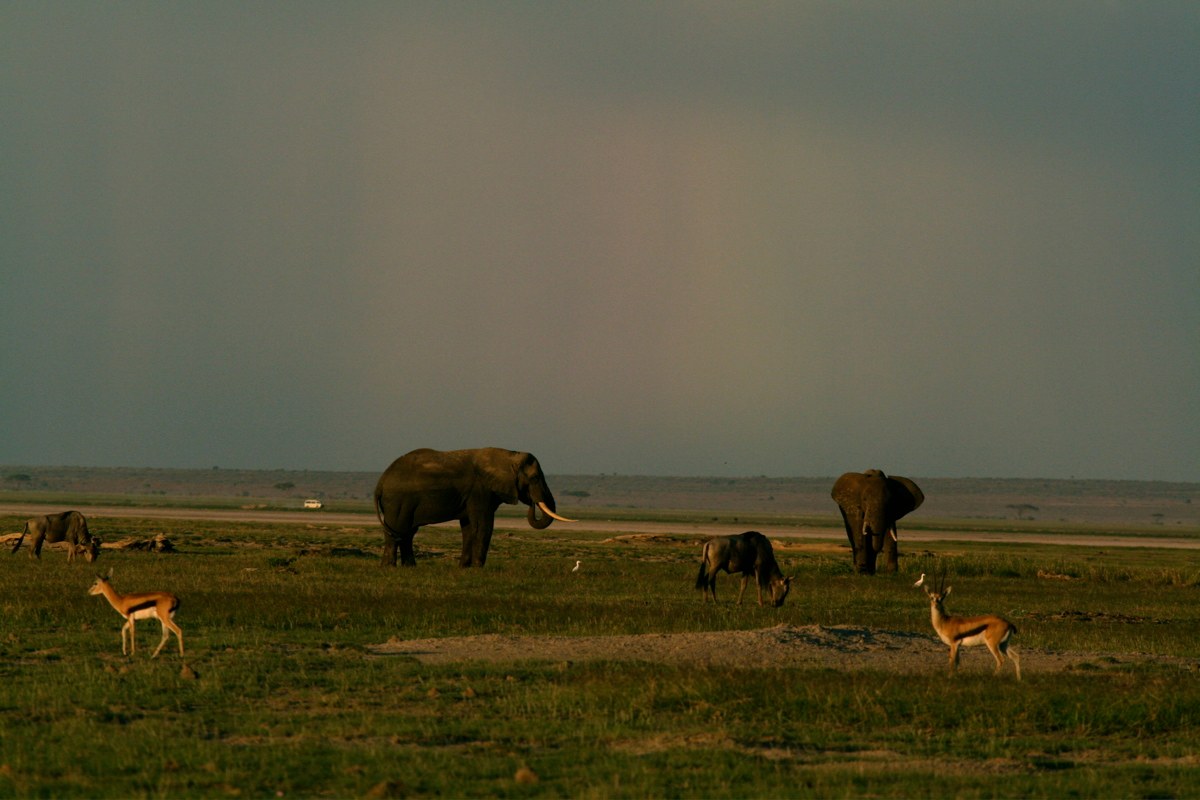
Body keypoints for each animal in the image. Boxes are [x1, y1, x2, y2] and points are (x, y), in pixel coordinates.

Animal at [373, 447, 573, 568]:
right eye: (534, 478)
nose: (532, 501)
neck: (508, 455)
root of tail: (380, 482)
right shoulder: (480, 491)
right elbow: (482, 526)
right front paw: (478, 568)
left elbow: (469, 528)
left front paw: (464, 568)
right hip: (397, 502)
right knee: (398, 531)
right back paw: (390, 568)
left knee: (406, 533)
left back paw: (409, 567)